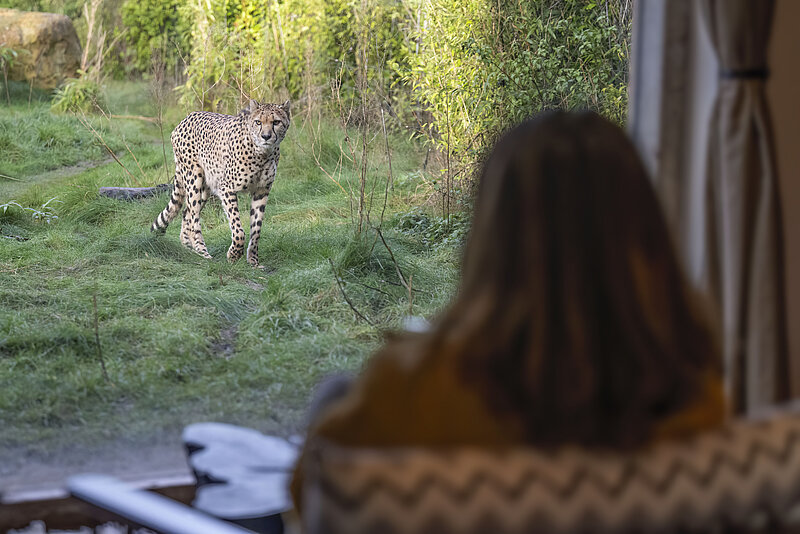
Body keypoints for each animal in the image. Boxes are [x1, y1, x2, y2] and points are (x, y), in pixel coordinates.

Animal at [151, 99, 291, 268]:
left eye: (276, 122)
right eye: (258, 122)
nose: (266, 136)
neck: (262, 153)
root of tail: (188, 117)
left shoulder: (262, 190)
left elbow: (256, 228)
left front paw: (254, 261)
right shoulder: (227, 189)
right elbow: (238, 229)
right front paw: (234, 255)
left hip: (206, 187)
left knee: (187, 212)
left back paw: (189, 247)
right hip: (194, 178)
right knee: (193, 216)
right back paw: (203, 252)